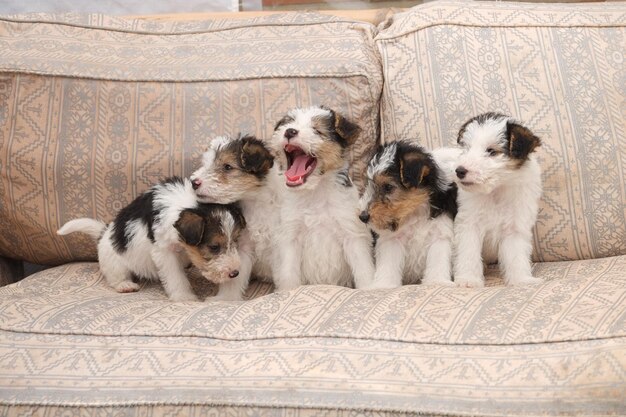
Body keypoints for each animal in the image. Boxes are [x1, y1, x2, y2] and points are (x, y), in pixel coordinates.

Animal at [57, 177, 245, 300]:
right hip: (116, 262)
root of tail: (103, 234)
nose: (235, 273)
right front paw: (184, 297)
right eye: (214, 247)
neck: (187, 205)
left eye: (235, 240)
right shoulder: (164, 252)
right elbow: (175, 277)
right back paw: (125, 285)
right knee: (115, 277)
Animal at [270, 105, 376, 290]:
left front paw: (367, 289)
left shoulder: (352, 233)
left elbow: (363, 269)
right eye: (288, 123)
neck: (315, 191)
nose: (289, 131)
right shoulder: (290, 236)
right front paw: (287, 291)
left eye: (317, 130)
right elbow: (288, 274)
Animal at [358, 141, 456, 288]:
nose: (362, 216)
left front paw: (437, 281)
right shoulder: (392, 239)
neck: (416, 212)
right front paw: (383, 285)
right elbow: (389, 264)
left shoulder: (440, 233)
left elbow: (438, 261)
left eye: (388, 187)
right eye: (368, 185)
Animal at [448, 112, 540, 288]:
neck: (495, 191)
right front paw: (468, 280)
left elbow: (516, 256)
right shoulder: (468, 225)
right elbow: (468, 253)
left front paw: (521, 280)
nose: (459, 171)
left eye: (491, 151)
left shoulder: (514, 227)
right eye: (467, 148)